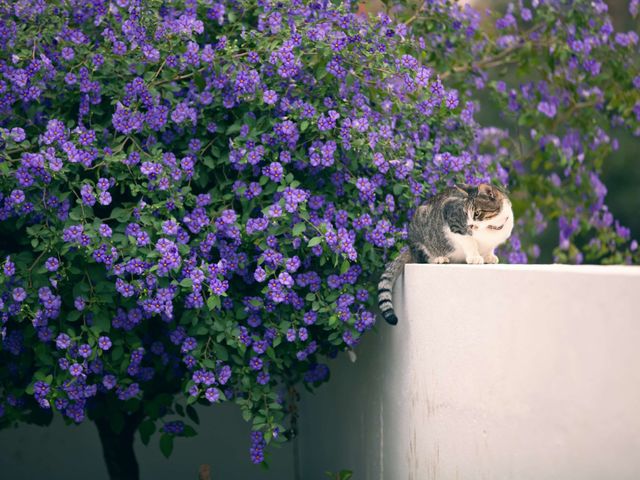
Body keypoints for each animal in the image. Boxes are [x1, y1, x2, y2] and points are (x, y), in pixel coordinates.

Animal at [378, 184, 512, 326]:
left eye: (476, 213)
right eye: (465, 214)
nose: (470, 225)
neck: (491, 229)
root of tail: (410, 246)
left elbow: (489, 248)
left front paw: (489, 256)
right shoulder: (450, 213)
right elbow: (468, 240)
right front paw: (475, 257)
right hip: (420, 229)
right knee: (423, 256)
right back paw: (438, 258)